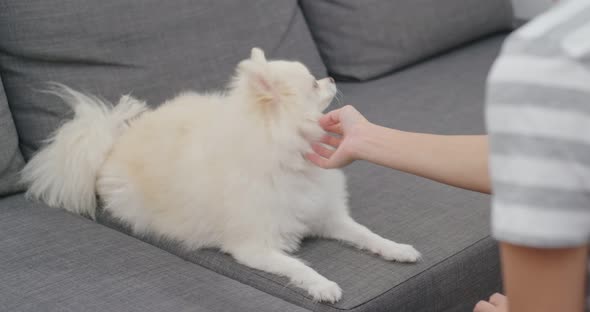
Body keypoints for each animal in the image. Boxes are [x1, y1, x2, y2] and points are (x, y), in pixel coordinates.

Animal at [22, 47, 420, 302]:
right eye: (313, 83)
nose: (333, 76)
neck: (288, 160)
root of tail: (113, 143)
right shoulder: (254, 247)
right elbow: (298, 265)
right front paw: (322, 285)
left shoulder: (327, 217)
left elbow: (366, 234)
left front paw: (396, 249)